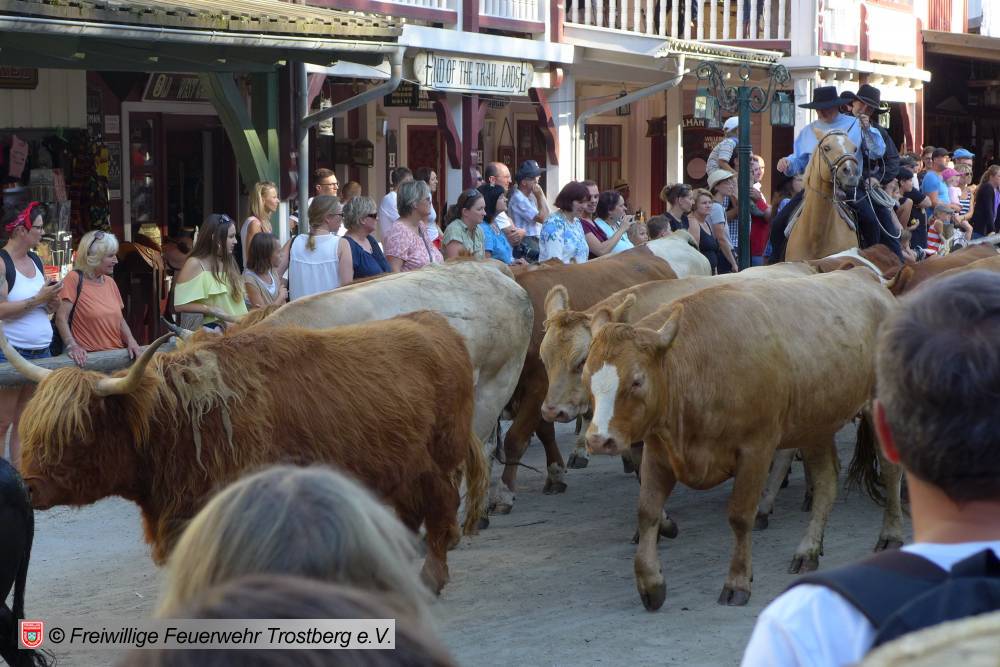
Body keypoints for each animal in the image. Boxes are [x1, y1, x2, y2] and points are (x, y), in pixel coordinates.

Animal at [6, 311, 486, 594]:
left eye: (77, 432)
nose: (27, 487)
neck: (176, 421)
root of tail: (435, 324)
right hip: (402, 470)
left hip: (439, 462)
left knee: (441, 513)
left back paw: (430, 579)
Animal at [495, 233, 711, 513]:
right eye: (545, 358)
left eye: (581, 361)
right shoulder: (546, 394)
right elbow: (544, 430)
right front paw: (555, 473)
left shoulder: (537, 388)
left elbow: (516, 438)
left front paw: (504, 493)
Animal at [582, 268, 903, 610]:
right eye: (587, 375)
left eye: (637, 381)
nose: (599, 439)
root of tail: (867, 279)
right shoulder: (659, 451)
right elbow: (647, 512)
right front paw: (650, 582)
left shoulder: (756, 449)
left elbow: (740, 516)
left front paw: (737, 581)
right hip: (816, 423)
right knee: (826, 481)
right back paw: (808, 551)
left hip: (881, 408)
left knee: (890, 471)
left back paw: (890, 535)